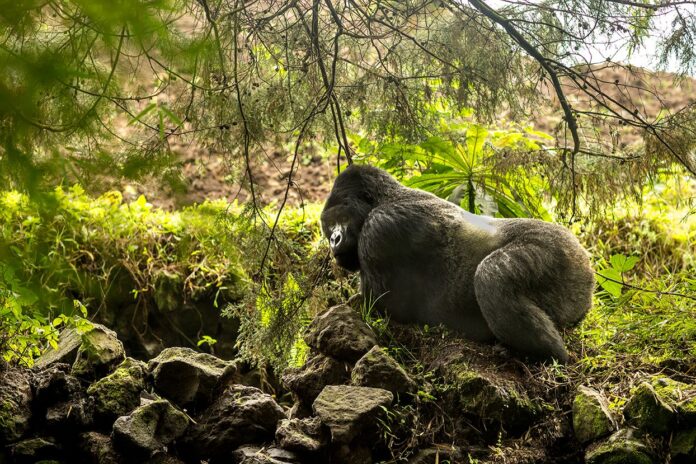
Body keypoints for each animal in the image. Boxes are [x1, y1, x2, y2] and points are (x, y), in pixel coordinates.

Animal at [320, 164, 594, 363]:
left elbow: (379, 306)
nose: (334, 239)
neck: (386, 198)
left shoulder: (381, 228)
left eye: (340, 217)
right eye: (328, 226)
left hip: (562, 253)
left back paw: (545, 353)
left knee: (491, 275)